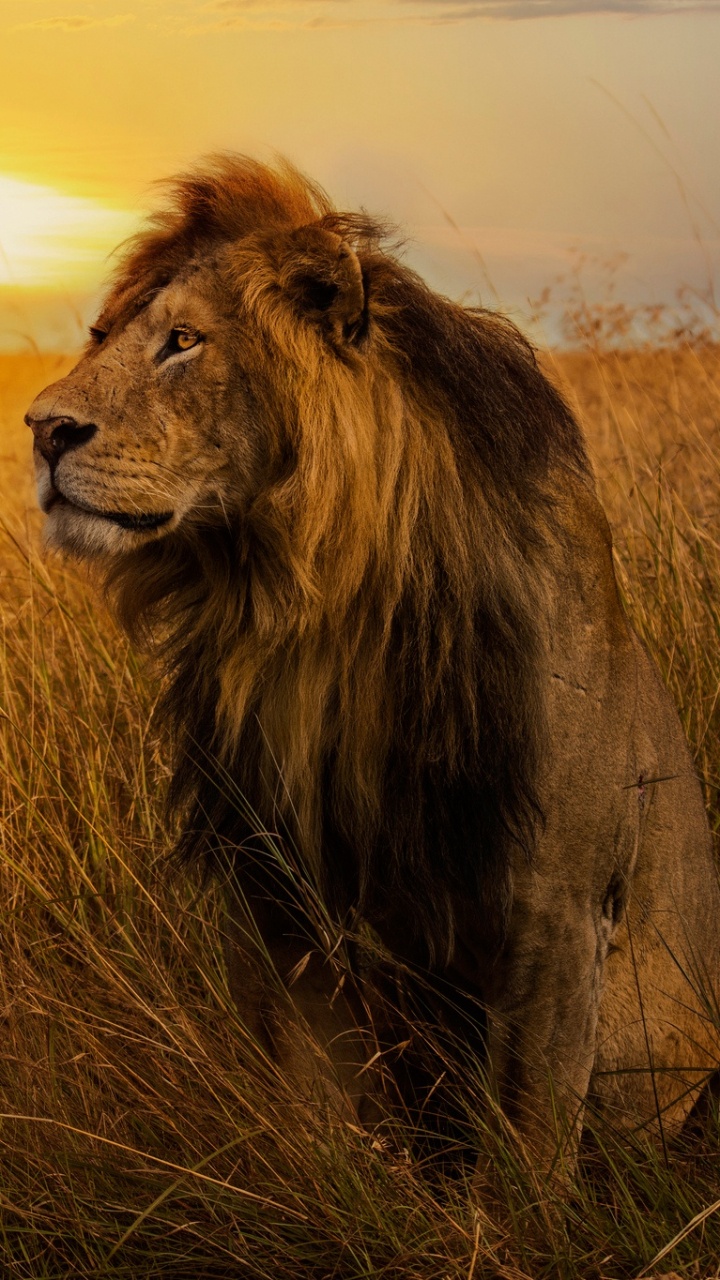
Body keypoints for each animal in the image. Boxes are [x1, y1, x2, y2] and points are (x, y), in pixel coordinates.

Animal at [25, 154, 720, 1170]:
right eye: (102, 337)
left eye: (183, 341)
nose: (40, 430)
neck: (304, 614)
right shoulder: (274, 891)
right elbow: (315, 1115)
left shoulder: (560, 909)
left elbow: (525, 1150)